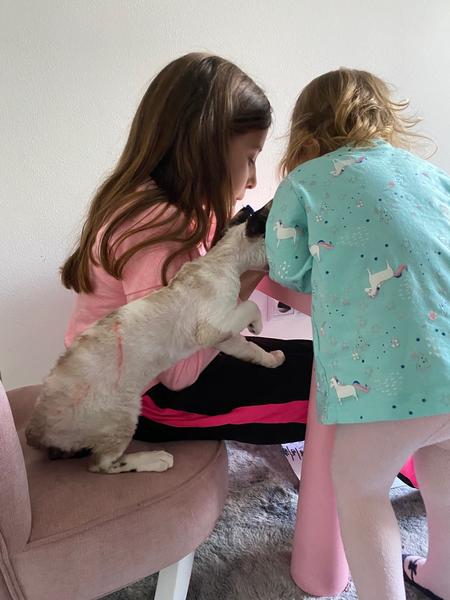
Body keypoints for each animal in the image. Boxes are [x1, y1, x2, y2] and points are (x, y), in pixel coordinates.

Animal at [25, 202, 285, 474]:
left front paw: (272, 358)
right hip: (125, 412)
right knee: (101, 465)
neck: (222, 259)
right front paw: (258, 324)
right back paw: (155, 459)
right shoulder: (214, 326)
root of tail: (34, 433)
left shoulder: (225, 337)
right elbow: (251, 305)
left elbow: (251, 348)